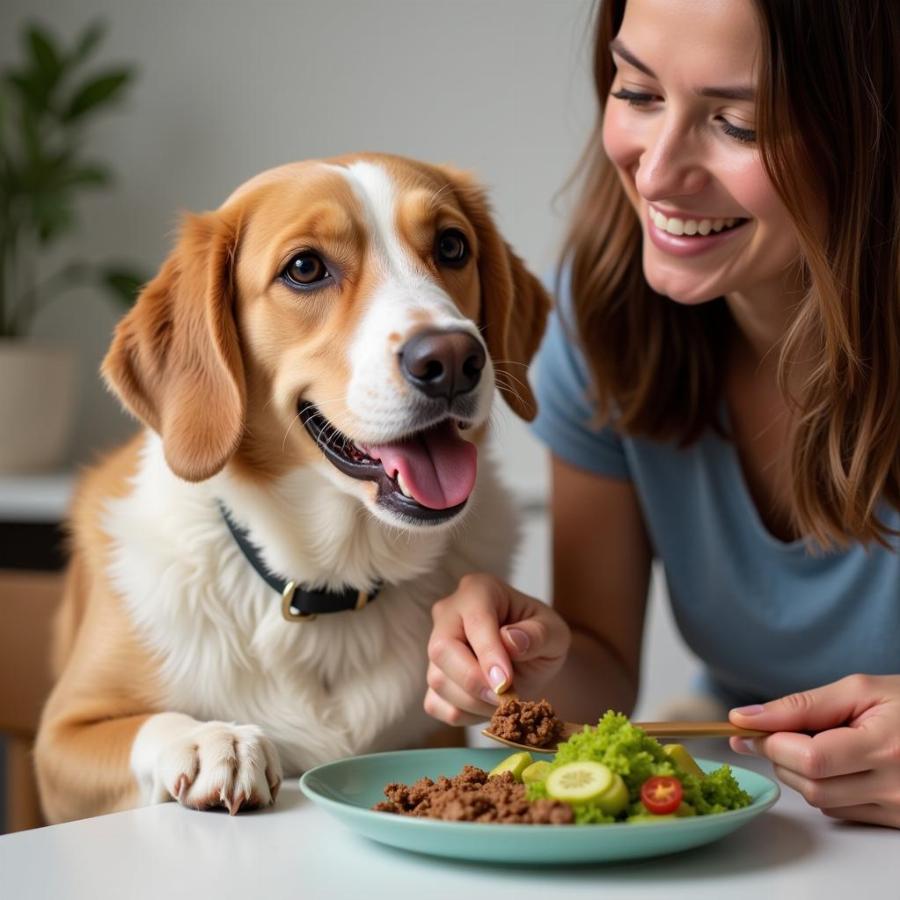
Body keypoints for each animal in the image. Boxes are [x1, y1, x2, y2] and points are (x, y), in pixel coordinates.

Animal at [35, 153, 552, 824]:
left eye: (451, 246)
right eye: (305, 268)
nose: (453, 359)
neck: (330, 580)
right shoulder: (61, 738)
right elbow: (152, 722)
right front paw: (211, 739)